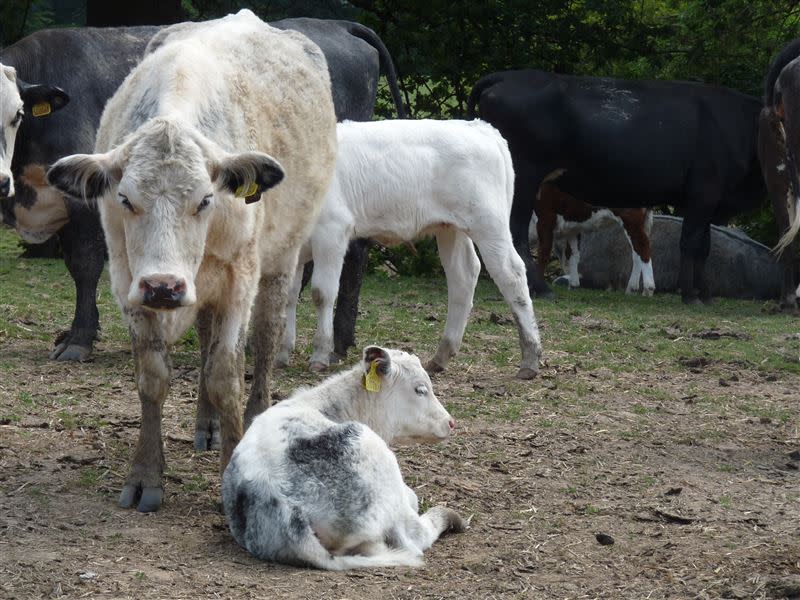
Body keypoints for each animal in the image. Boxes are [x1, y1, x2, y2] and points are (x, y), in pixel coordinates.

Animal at [44, 10, 338, 510]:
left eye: (205, 199)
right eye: (125, 198)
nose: (164, 285)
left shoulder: (240, 278)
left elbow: (226, 374)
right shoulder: (128, 280)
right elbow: (153, 375)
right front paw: (145, 475)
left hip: (281, 260)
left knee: (265, 341)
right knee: (204, 337)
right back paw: (208, 423)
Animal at [222, 344, 466, 568]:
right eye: (420, 389)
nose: (451, 422)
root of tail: (285, 507)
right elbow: (413, 497)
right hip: (379, 463)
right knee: (413, 538)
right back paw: (451, 517)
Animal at [278, 118, 540, 380]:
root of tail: (479, 127)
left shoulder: (332, 231)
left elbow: (321, 293)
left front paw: (319, 355)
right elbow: (289, 296)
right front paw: (282, 354)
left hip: (488, 223)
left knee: (511, 273)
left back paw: (530, 358)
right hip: (450, 228)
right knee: (464, 275)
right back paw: (440, 356)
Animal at [468, 69, 768, 304]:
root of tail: (507, 76)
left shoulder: (709, 201)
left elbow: (703, 246)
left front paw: (703, 294)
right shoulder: (703, 195)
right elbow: (691, 243)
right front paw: (691, 295)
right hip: (525, 177)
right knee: (516, 231)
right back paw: (539, 288)